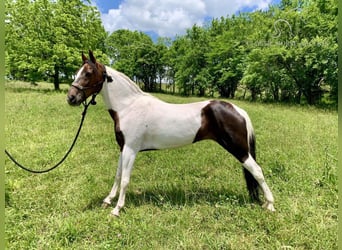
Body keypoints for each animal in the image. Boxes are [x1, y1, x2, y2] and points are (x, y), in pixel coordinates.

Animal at [67, 49, 276, 216]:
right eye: (77, 72)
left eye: (88, 73)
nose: (71, 97)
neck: (129, 107)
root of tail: (238, 110)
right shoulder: (123, 148)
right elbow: (118, 175)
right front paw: (108, 200)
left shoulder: (131, 150)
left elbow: (125, 179)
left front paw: (117, 209)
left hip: (240, 150)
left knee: (257, 171)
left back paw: (270, 205)